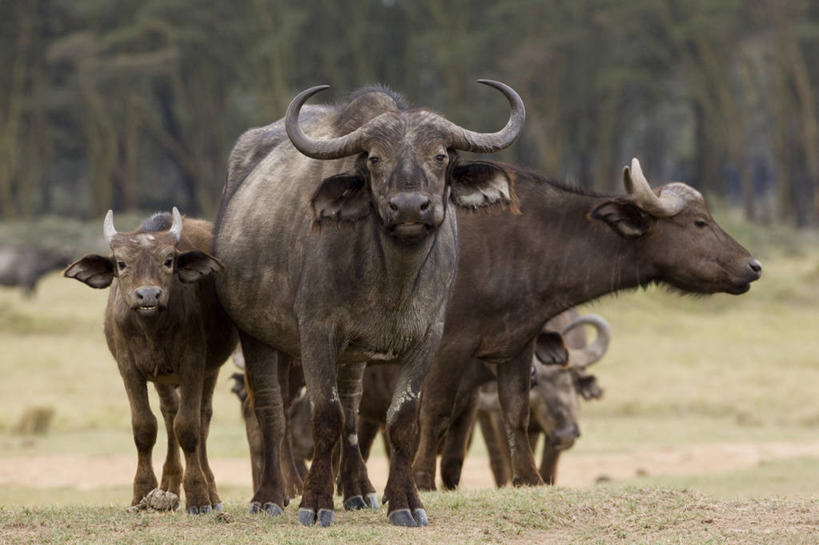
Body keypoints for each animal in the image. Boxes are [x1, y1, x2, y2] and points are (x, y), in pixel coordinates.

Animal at [63, 209, 237, 516]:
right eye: (121, 263)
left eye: (168, 260)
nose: (148, 296)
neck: (152, 329)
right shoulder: (129, 368)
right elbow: (145, 427)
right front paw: (142, 492)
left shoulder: (194, 364)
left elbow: (188, 428)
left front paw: (198, 496)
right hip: (163, 377)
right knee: (169, 413)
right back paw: (169, 485)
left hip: (210, 370)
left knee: (202, 417)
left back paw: (211, 491)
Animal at [213, 81, 524, 528]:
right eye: (375, 158)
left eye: (440, 155)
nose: (409, 206)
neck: (392, 280)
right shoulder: (316, 333)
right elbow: (325, 415)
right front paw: (315, 502)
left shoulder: (427, 339)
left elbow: (401, 420)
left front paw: (405, 502)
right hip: (255, 333)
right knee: (272, 411)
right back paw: (270, 495)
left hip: (353, 356)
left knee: (352, 406)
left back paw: (359, 490)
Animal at [410, 157, 764, 488]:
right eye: (699, 222)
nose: (753, 266)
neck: (521, 245)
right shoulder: (450, 345)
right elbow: (434, 411)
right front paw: (421, 481)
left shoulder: (517, 342)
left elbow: (516, 411)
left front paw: (530, 479)